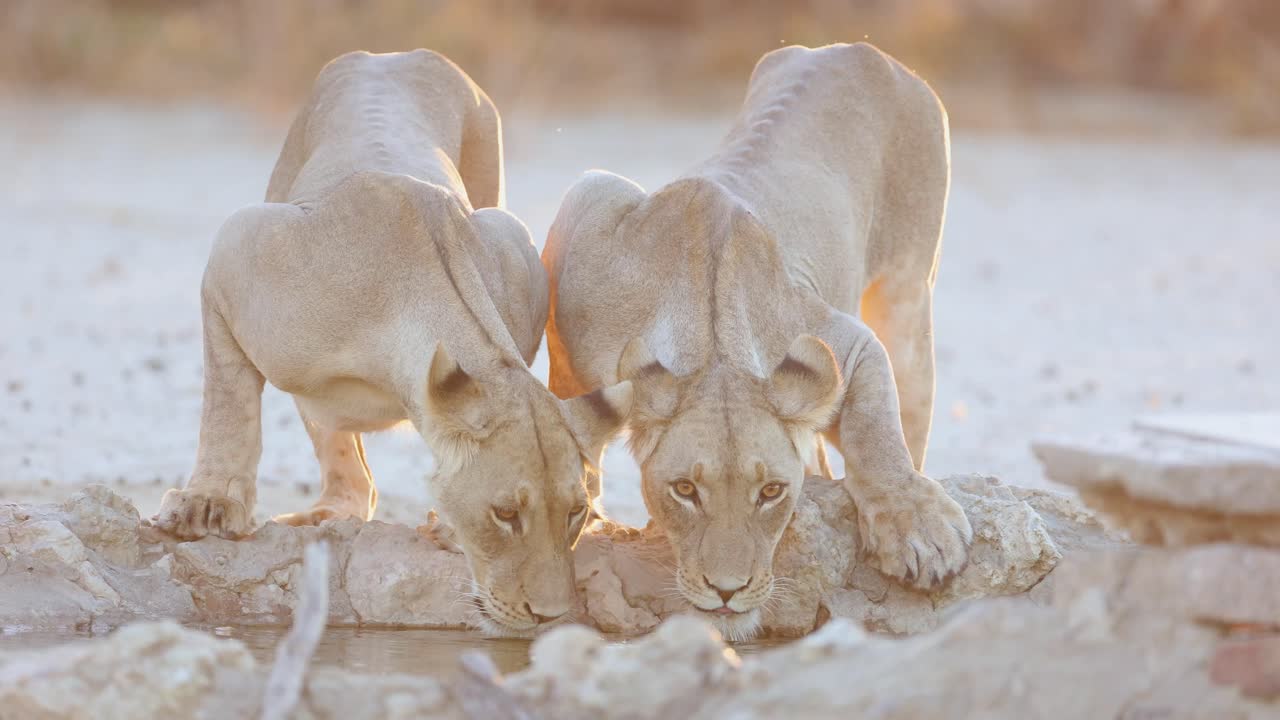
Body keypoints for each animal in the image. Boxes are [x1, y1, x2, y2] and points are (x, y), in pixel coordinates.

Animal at [152, 50, 632, 635]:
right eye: (506, 514)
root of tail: (391, 55)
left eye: (575, 512)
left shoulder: (515, 257)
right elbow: (228, 405)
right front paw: (208, 502)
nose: (549, 615)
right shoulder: (235, 251)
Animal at [542, 43, 972, 640]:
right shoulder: (588, 211)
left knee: (908, 406)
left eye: (771, 493)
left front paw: (919, 528)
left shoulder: (844, 341)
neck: (712, 339)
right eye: (685, 490)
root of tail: (854, 48)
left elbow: (876, 432)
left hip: (909, 294)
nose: (728, 591)